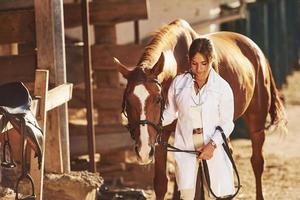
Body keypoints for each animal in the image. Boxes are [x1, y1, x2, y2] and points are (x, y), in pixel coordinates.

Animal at [114, 19, 286, 200]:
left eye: (157, 99)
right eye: (128, 102)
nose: (143, 151)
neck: (179, 65)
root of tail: (257, 50)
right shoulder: (161, 135)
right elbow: (162, 183)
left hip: (255, 123)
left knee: (257, 161)